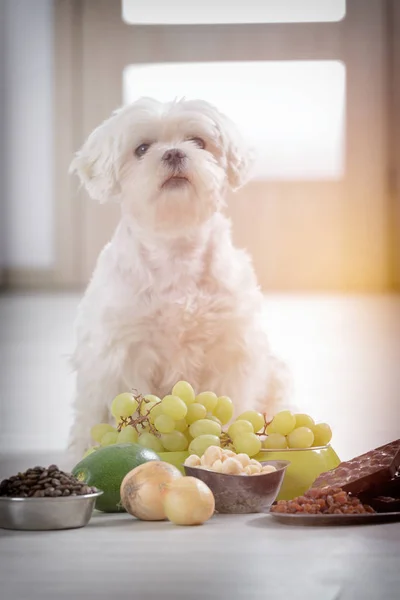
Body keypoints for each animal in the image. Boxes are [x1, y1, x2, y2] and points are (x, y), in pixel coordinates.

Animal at [66, 98, 288, 464]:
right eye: (141, 149)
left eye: (198, 141)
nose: (173, 153)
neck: (175, 250)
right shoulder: (124, 354)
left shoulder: (228, 352)